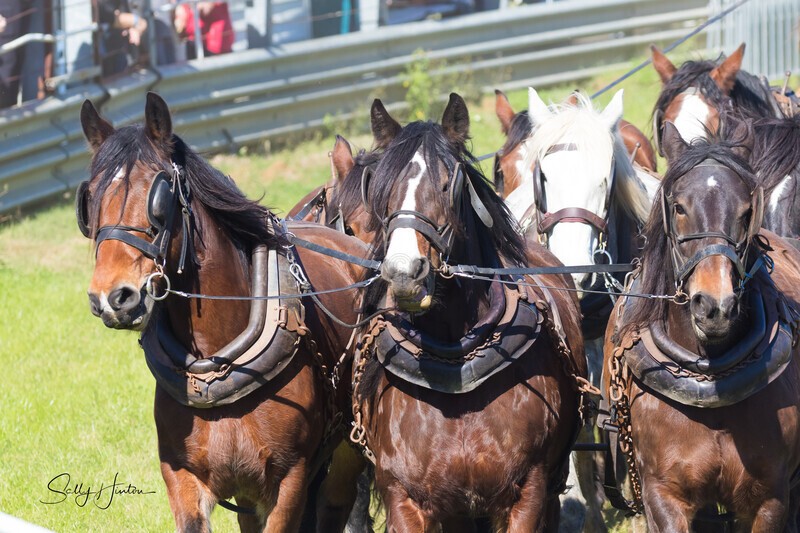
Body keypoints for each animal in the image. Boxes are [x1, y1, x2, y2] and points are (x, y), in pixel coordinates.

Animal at [77, 92, 370, 532]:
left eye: (157, 196)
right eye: (90, 198)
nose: (112, 298)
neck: (217, 357)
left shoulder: (289, 481)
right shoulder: (184, 478)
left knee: (337, 504)